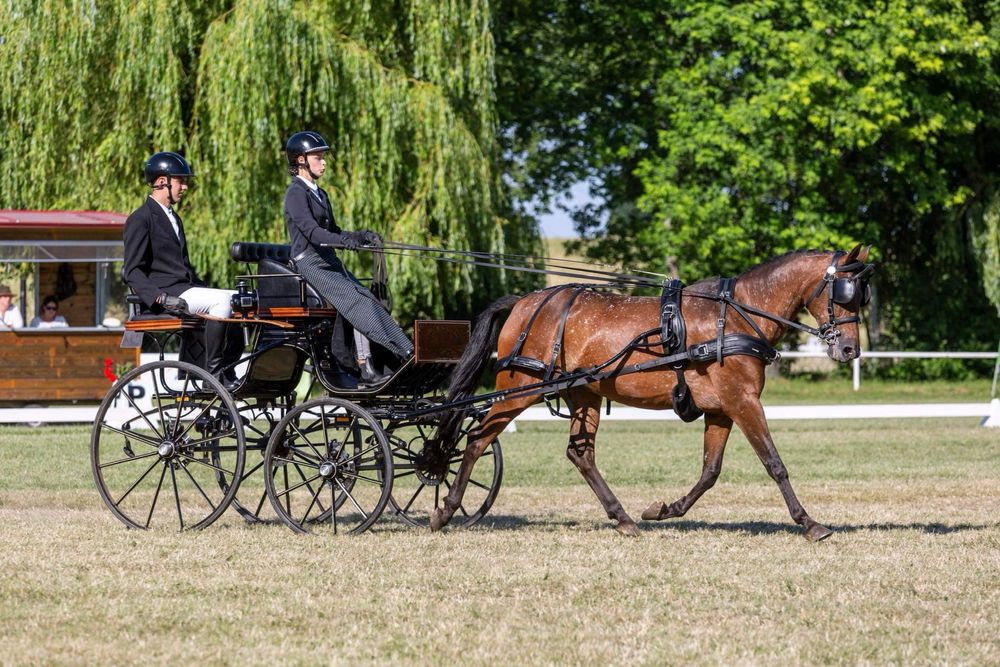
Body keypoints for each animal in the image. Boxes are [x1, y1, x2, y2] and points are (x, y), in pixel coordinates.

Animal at [430, 245, 876, 544]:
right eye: (844, 293)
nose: (850, 350)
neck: (735, 316)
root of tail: (525, 302)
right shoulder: (743, 401)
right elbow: (774, 463)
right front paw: (810, 524)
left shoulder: (722, 409)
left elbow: (710, 471)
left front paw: (664, 510)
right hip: (517, 388)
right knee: (477, 438)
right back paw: (445, 510)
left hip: (583, 394)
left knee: (580, 454)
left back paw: (624, 518)